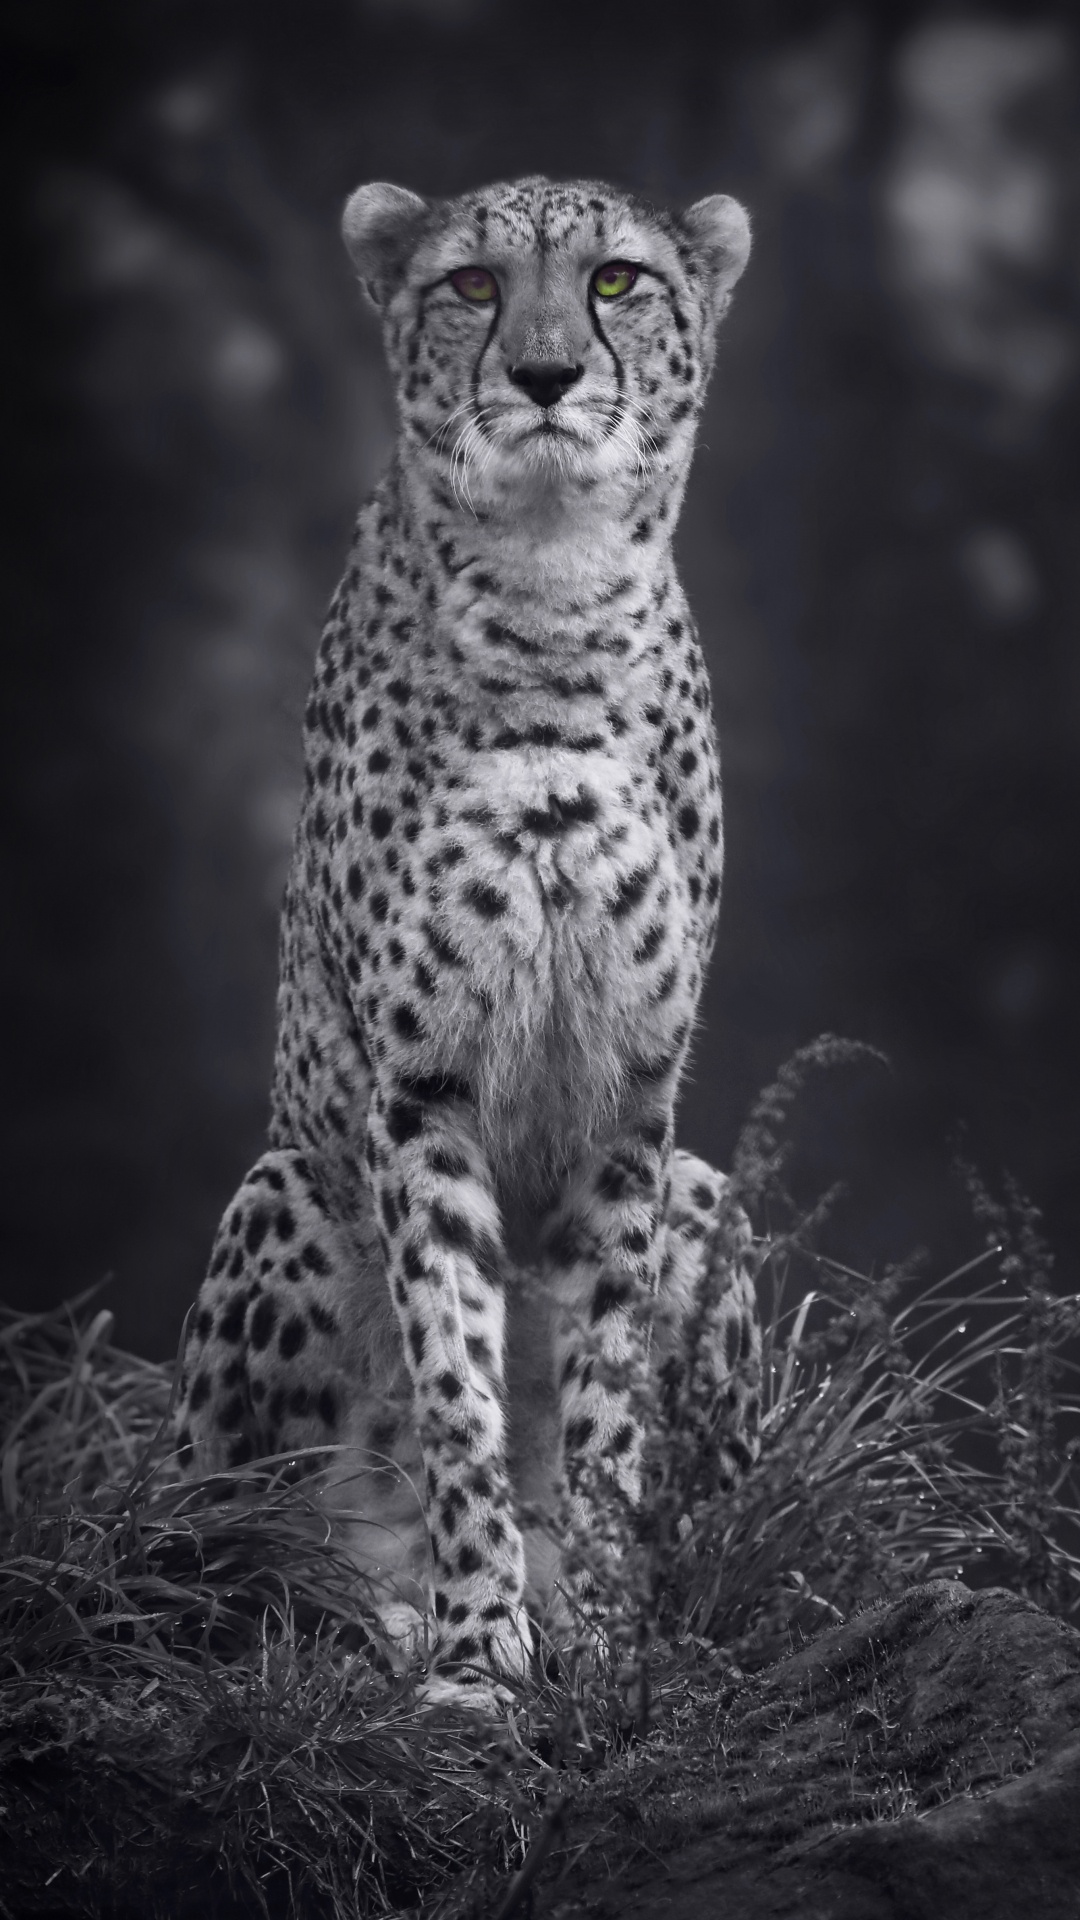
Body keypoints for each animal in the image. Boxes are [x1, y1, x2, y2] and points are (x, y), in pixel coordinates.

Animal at [175, 173, 761, 1703]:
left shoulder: (632, 1101)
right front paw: (478, 1654)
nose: (545, 374)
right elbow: (454, 1380)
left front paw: (598, 1631)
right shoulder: (418, 1090)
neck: (553, 598)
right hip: (285, 1196)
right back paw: (374, 1608)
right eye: (473, 287)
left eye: (616, 281)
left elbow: (603, 1401)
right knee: (221, 1560)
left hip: (709, 1191)